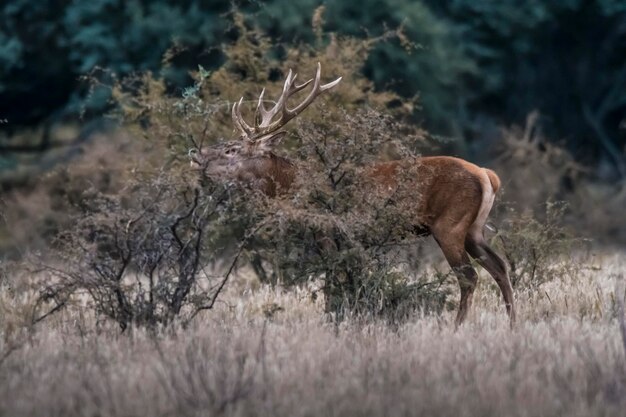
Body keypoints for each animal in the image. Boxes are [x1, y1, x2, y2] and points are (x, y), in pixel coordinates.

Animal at [188, 63, 516, 326]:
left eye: (232, 149)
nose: (195, 154)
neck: (296, 185)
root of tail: (488, 176)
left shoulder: (328, 231)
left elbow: (333, 282)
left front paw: (335, 320)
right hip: (474, 229)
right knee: (500, 267)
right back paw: (513, 325)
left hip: (450, 224)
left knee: (469, 276)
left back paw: (457, 327)